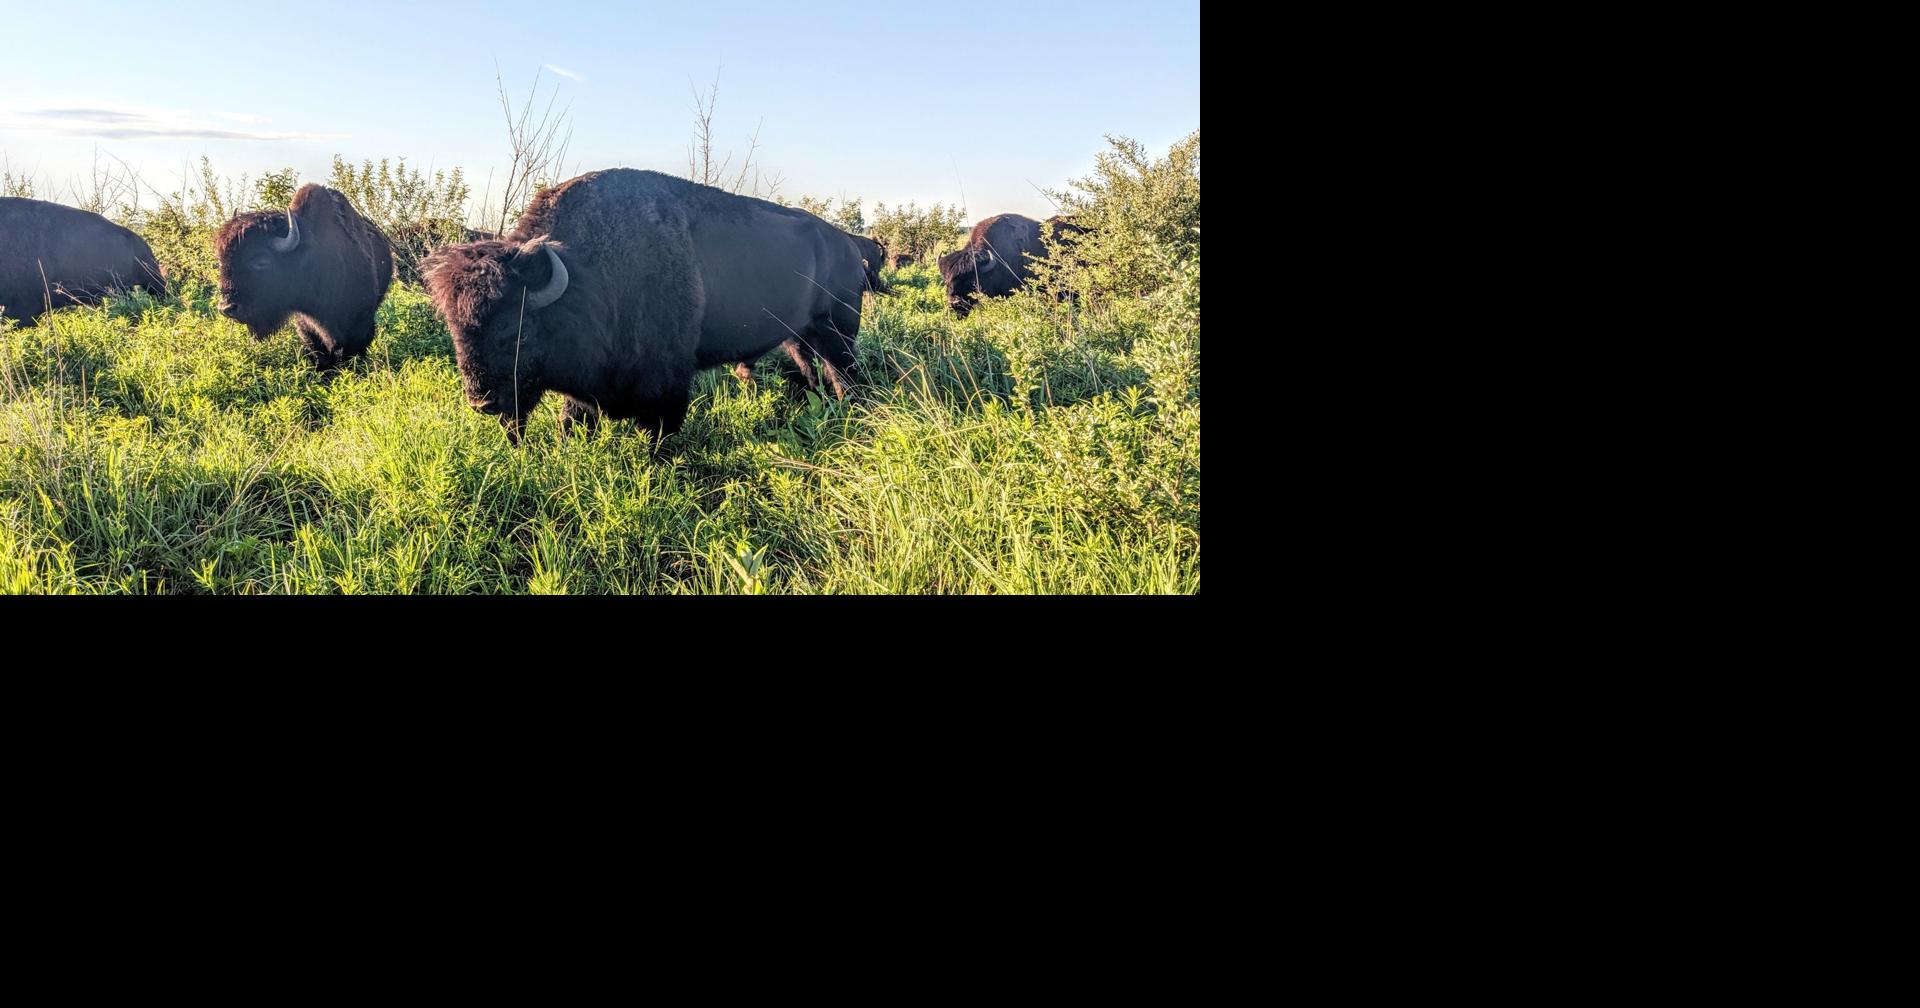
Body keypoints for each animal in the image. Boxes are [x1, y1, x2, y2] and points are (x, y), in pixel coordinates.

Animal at [422, 168, 870, 445]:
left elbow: (659, 432)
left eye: (516, 330)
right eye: (457, 332)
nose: (482, 403)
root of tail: (849, 246)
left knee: (845, 376)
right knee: (815, 373)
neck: (583, 275)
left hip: (837, 332)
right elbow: (572, 421)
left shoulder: (666, 383)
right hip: (800, 338)